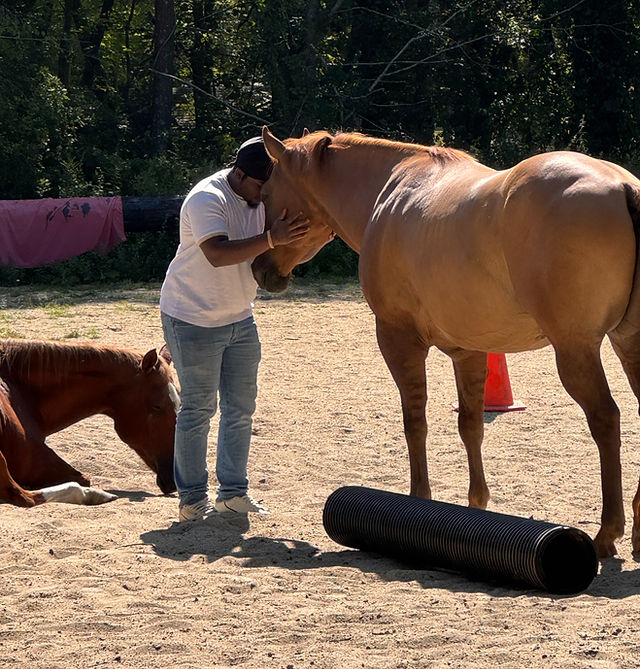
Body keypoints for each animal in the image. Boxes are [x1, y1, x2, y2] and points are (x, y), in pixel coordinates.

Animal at [0, 339, 179, 507]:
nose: (175, 477)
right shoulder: (36, 460)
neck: (18, 389)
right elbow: (84, 479)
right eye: (157, 406)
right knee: (25, 497)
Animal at [252, 126, 640, 559]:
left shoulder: (398, 340)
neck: (388, 191)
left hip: (576, 351)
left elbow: (414, 422)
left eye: (266, 193)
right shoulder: (468, 351)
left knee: (605, 419)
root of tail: (623, 185)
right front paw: (476, 505)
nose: (260, 269)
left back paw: (607, 533)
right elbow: (470, 426)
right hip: (628, 344)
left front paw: (419, 497)